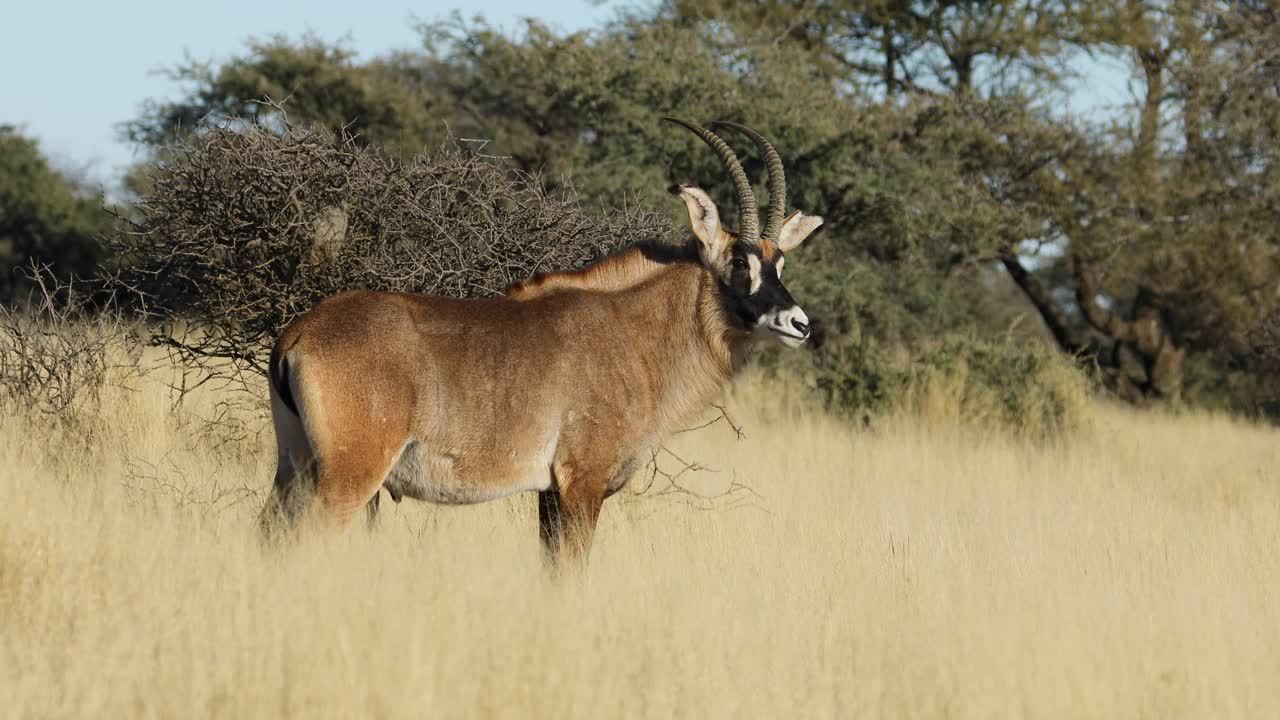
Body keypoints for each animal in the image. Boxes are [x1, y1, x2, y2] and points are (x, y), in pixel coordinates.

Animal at [259, 117, 824, 563]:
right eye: (739, 263)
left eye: (780, 262)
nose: (800, 323)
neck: (631, 332)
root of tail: (299, 333)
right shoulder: (581, 484)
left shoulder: (550, 494)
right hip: (348, 476)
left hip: (294, 468)